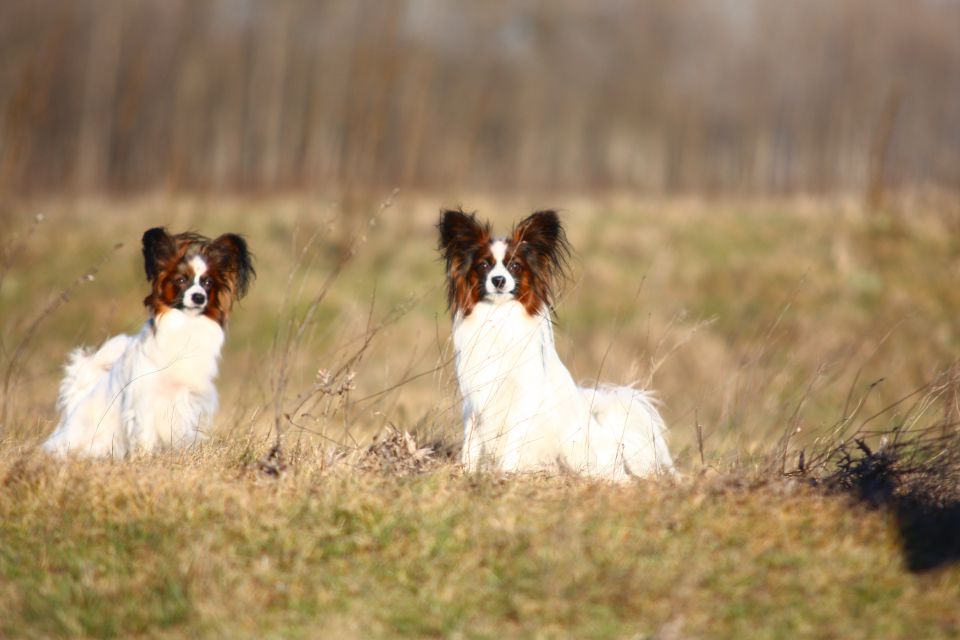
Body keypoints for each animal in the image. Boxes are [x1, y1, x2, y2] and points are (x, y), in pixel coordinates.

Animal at [438, 210, 672, 480]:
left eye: (515, 266)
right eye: (483, 265)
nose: (498, 280)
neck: (499, 316)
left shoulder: (521, 401)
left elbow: (512, 444)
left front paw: (506, 473)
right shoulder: (475, 399)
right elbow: (472, 442)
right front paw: (466, 471)